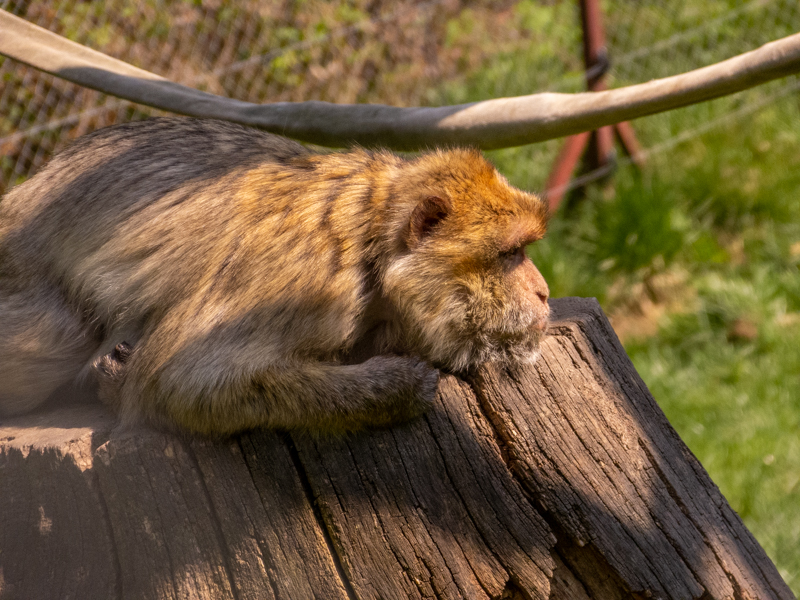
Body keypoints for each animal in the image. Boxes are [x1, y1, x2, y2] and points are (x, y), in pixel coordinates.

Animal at [0, 118, 549, 436]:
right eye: (511, 254)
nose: (544, 293)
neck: (370, 238)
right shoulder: (310, 283)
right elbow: (180, 379)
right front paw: (396, 386)